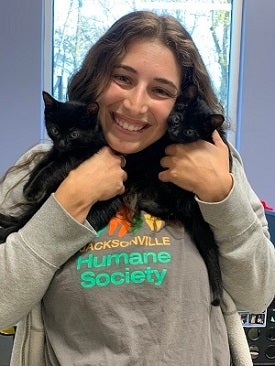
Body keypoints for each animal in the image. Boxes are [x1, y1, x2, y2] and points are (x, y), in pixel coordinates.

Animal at [0, 91, 122, 242]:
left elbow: (52, 168)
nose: (62, 143)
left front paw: (32, 191)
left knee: (24, 221)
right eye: (55, 130)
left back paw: (3, 231)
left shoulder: (76, 157)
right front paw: (28, 185)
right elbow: (43, 162)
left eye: (74, 134)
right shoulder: (55, 151)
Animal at [137, 85, 232, 306]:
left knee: (175, 210)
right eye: (179, 115)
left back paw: (147, 203)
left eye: (190, 132)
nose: (176, 129)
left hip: (175, 189)